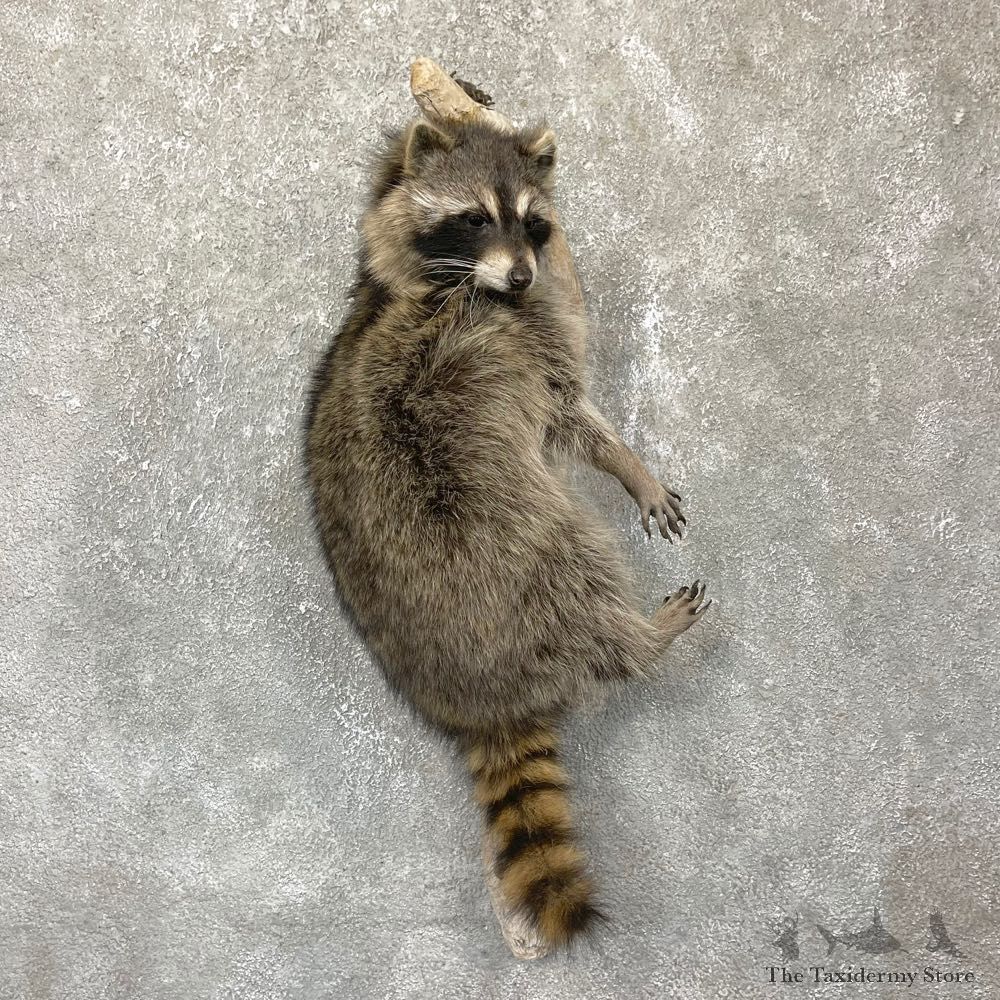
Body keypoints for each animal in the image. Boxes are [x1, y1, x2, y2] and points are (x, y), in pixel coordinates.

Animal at [304, 115, 711, 950]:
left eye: (532, 220)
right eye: (473, 218)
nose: (524, 277)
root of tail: (483, 700)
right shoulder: (521, 342)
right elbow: (571, 418)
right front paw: (627, 464)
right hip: (506, 541)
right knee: (571, 556)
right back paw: (636, 637)